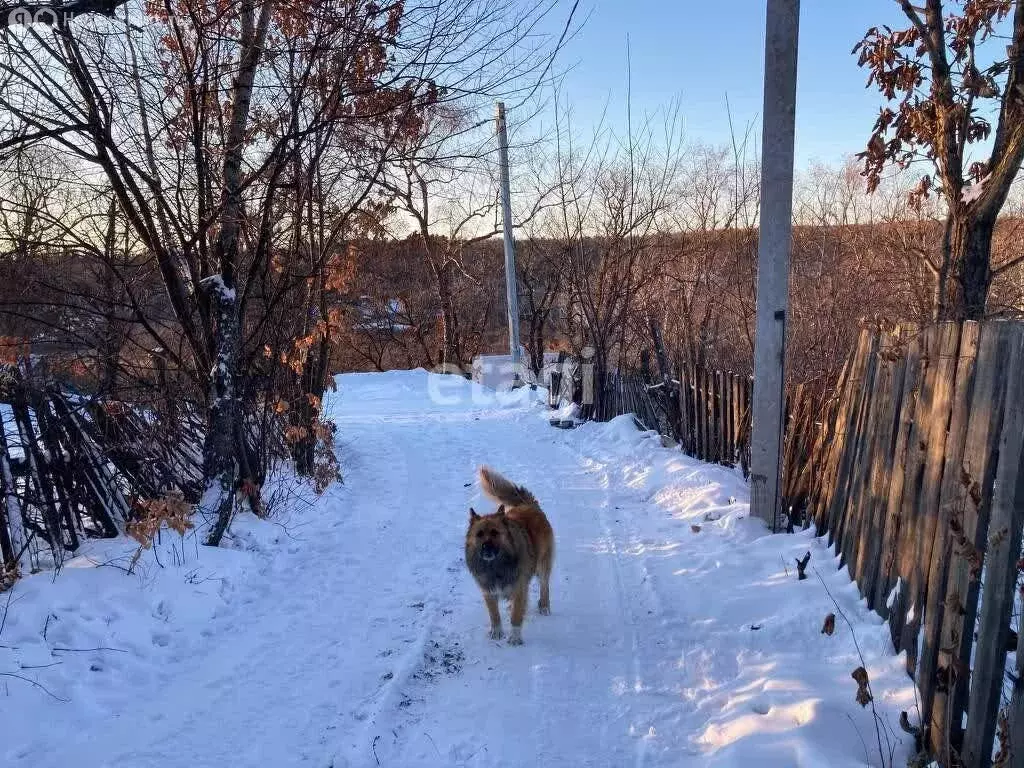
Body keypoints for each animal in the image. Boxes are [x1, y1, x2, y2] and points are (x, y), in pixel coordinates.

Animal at [466, 466, 557, 647]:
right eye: (479, 534)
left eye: (495, 533)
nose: (486, 547)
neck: (496, 566)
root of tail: (528, 505)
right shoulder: (488, 591)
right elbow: (494, 615)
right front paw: (496, 632)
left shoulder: (520, 587)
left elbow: (516, 615)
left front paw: (514, 638)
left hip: (543, 564)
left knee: (544, 586)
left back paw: (544, 606)